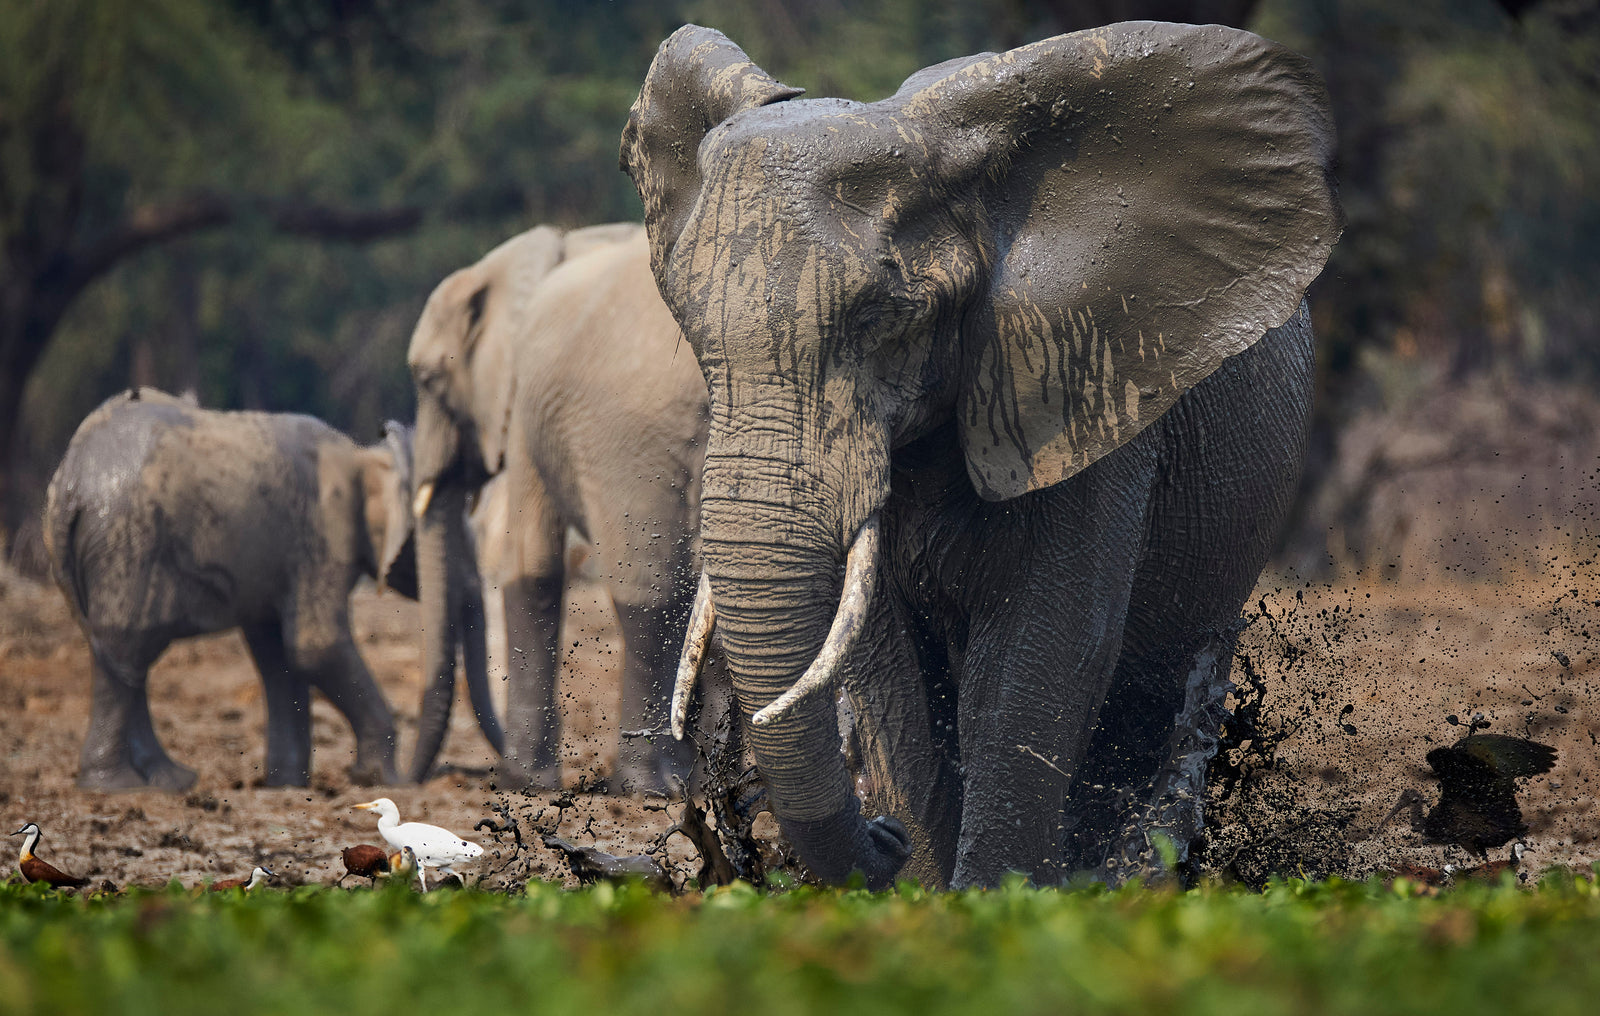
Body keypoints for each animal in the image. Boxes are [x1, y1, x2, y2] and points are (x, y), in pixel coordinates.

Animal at [43, 388, 499, 790]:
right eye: (457, 534)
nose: (416, 777)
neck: (366, 456)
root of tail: (71, 481)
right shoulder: (324, 532)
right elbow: (316, 646)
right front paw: (377, 779)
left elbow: (279, 657)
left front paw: (288, 786)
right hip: (130, 546)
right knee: (127, 651)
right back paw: (119, 787)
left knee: (114, 656)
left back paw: (168, 783)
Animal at [408, 223, 713, 791]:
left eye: (427, 380)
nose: (403, 779)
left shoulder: (525, 402)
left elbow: (530, 569)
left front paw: (523, 781)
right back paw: (685, 782)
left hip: (629, 433)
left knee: (650, 592)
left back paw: (644, 786)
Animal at [622, 22, 1341, 888]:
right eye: (689, 326)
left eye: (886, 316)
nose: (884, 835)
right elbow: (893, 672)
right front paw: (934, 891)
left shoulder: (1080, 376)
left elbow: (1042, 651)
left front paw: (1001, 898)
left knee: (1157, 690)